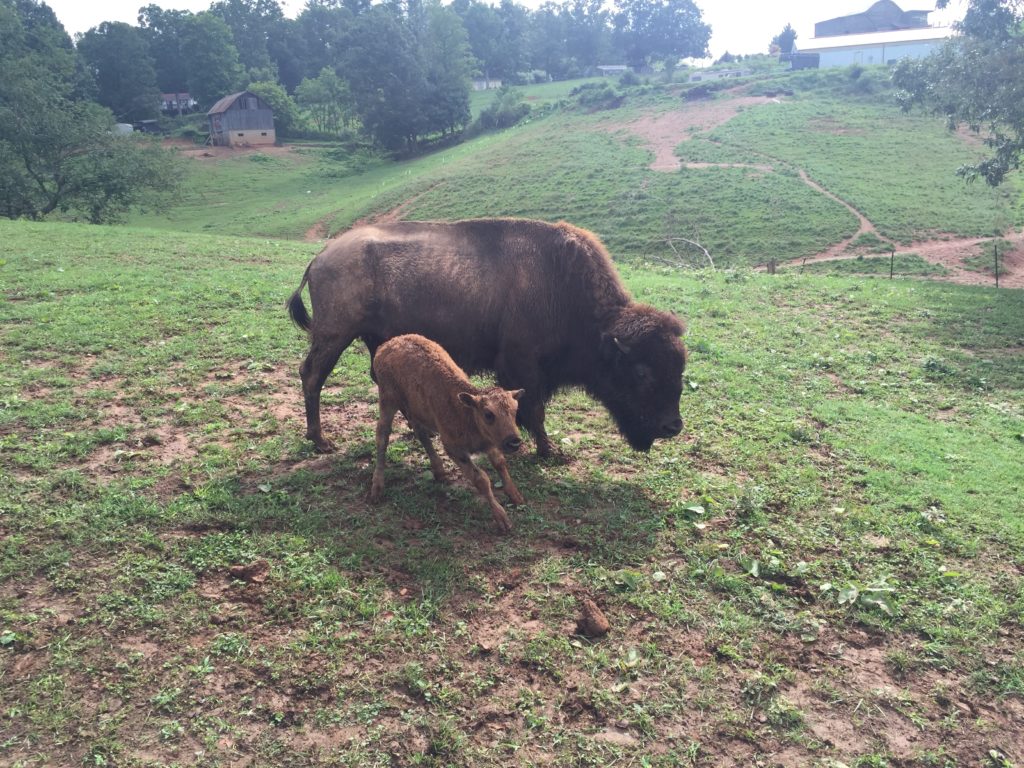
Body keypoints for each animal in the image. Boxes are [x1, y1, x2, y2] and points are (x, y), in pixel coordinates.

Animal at [288, 217, 688, 456]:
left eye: (680, 369)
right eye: (641, 372)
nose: (673, 426)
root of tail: (320, 257)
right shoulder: (523, 364)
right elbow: (535, 408)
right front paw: (549, 451)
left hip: (373, 339)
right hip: (334, 335)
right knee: (312, 375)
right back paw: (321, 441)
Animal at [370, 335, 528, 536]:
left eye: (515, 410)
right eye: (488, 414)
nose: (514, 442)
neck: (467, 411)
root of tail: (386, 346)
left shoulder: (490, 443)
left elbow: (500, 463)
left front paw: (516, 495)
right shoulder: (454, 449)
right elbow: (481, 479)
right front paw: (503, 520)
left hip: (414, 408)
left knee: (419, 431)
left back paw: (440, 472)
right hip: (388, 400)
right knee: (382, 435)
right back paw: (377, 488)